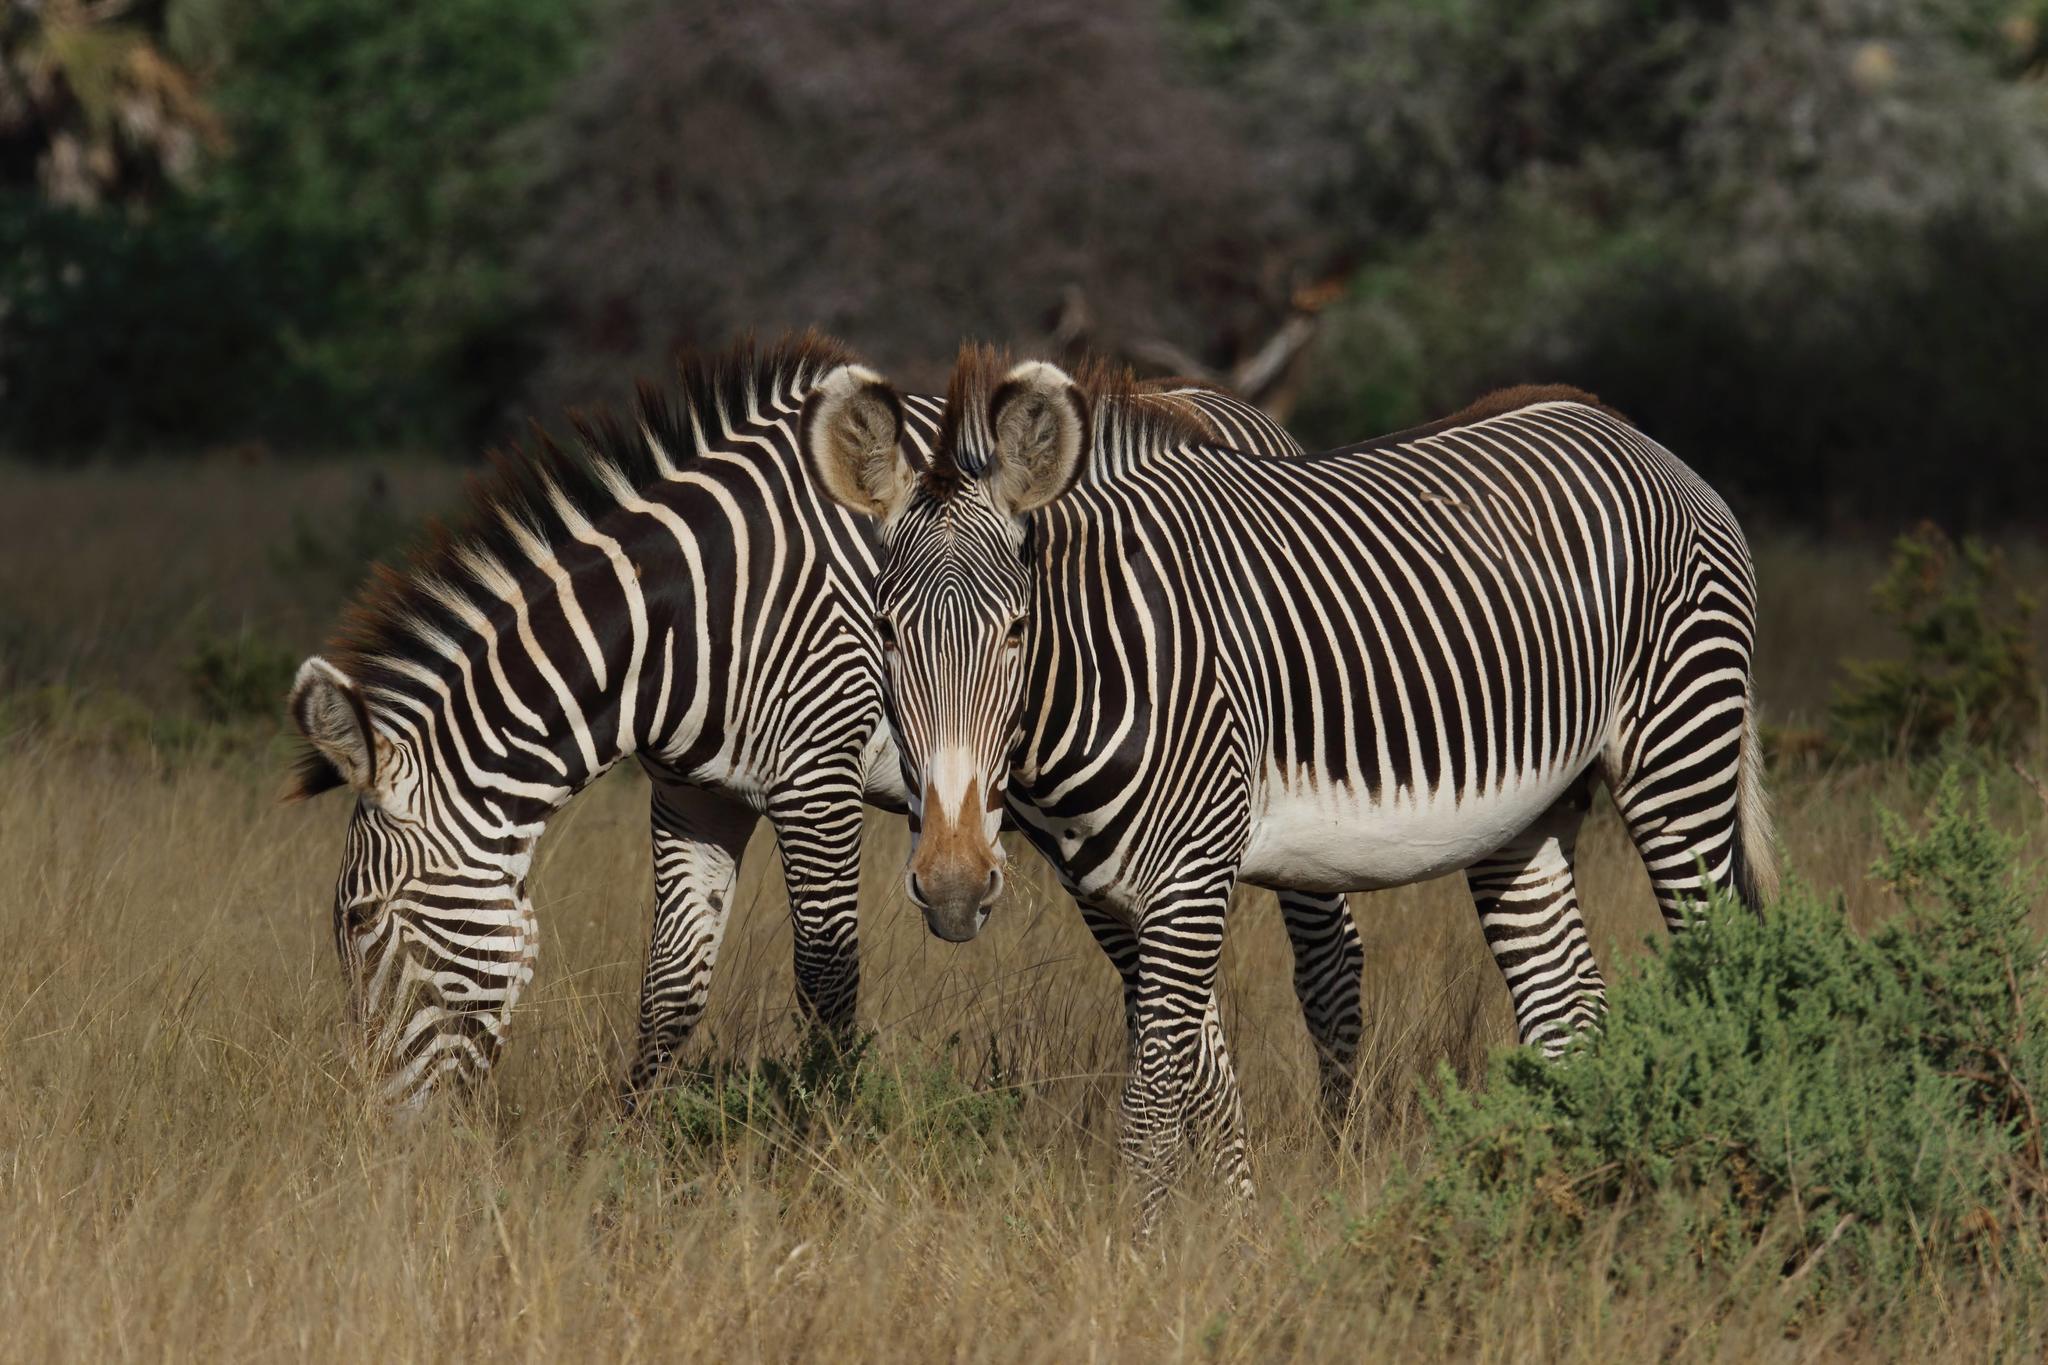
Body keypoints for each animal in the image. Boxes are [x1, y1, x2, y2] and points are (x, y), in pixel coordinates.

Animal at [276, 331, 1359, 1113]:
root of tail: (1254, 419)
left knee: (1330, 960)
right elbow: (669, 995)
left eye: (359, 920)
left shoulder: (817, 781)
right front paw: (617, 1157)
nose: (387, 1136)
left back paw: (1340, 1140)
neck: (692, 618)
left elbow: (826, 986)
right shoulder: (694, 794)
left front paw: (826, 1146)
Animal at [798, 341, 1777, 1219]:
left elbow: (1153, 1103)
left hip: (1678, 752)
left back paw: (1713, 1187)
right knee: (1566, 1010)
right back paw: (1575, 1199)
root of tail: (1631, 433)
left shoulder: (1193, 871)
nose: (954, 885)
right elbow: (1202, 1078)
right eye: (884, 631)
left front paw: (1143, 1259)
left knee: (1718, 964)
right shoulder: (1110, 893)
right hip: (1528, 813)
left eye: (1017, 629)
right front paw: (1235, 1235)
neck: (1108, 660)